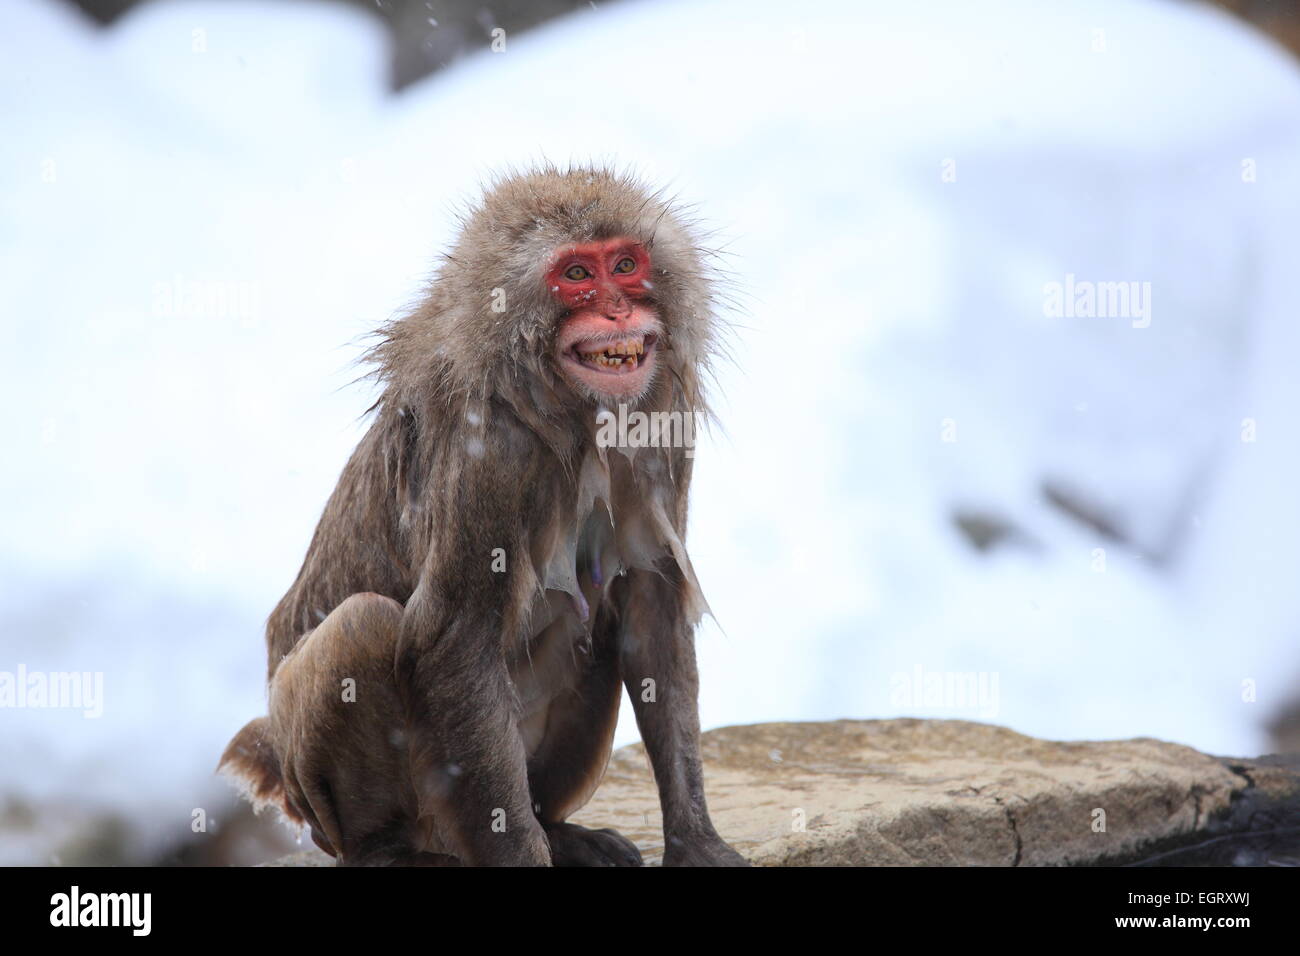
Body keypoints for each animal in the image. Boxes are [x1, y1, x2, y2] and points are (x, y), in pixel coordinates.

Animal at [219, 164, 748, 868]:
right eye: (577, 274)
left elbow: (650, 603)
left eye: (626, 264)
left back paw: (557, 829)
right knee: (362, 626)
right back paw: (388, 849)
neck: (567, 405)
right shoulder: (490, 453)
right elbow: (455, 640)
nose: (617, 309)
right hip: (368, 807)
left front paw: (696, 840)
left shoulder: (664, 420)